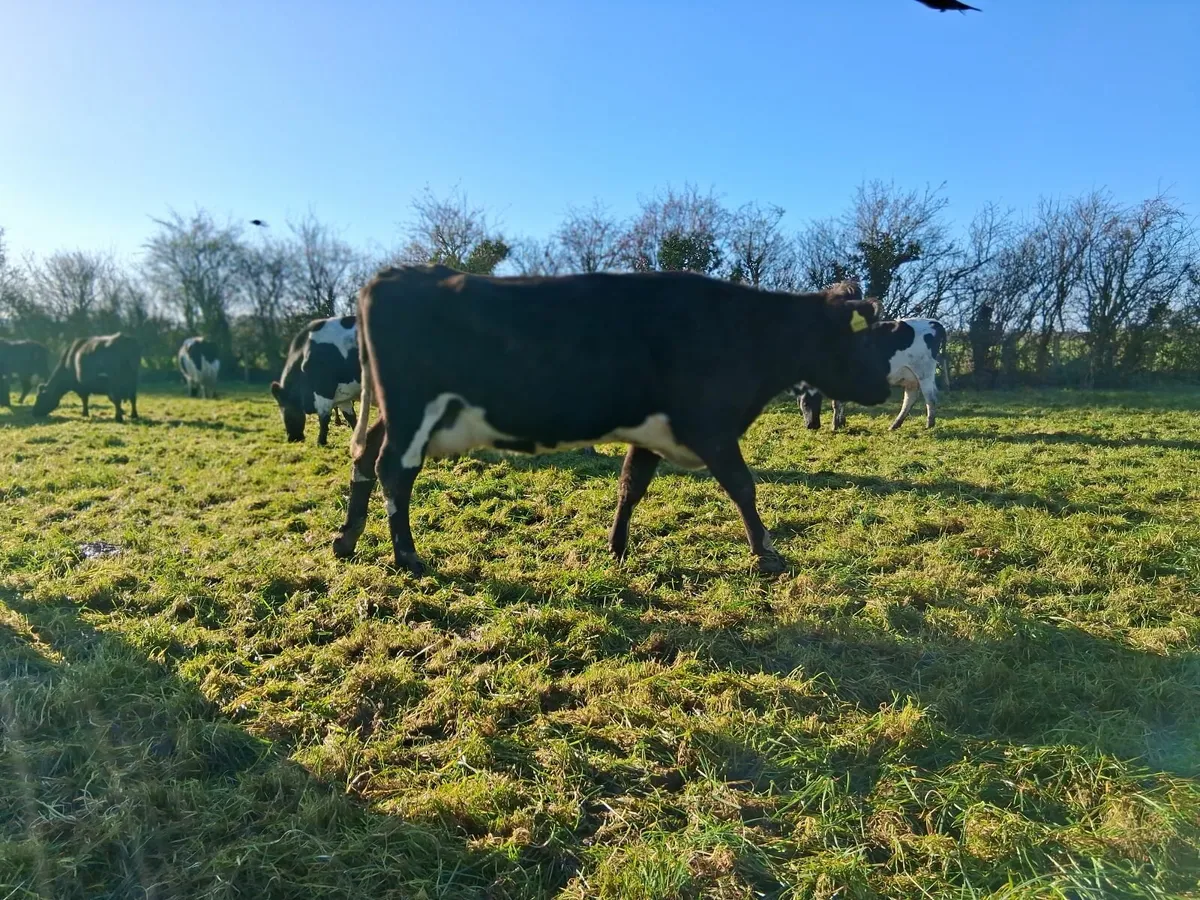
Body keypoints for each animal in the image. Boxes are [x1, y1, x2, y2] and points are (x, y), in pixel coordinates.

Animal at [271, 315, 360, 445]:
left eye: (285, 415)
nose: (292, 439)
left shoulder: (324, 390)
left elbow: (324, 418)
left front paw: (321, 442)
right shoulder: (344, 395)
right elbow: (351, 417)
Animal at [330, 265, 892, 576]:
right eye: (864, 338)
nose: (885, 386)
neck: (745, 330)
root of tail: (396, 273)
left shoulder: (653, 431)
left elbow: (630, 486)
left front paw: (616, 548)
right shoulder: (710, 427)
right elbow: (743, 486)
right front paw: (767, 554)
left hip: (396, 412)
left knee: (364, 454)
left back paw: (347, 539)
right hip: (411, 410)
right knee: (392, 470)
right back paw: (407, 558)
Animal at [789, 317, 949, 431]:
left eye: (807, 402)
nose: (812, 426)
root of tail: (935, 323)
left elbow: (836, 403)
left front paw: (835, 425)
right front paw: (841, 422)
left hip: (924, 372)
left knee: (930, 397)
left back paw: (929, 425)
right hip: (911, 377)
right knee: (910, 398)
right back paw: (895, 425)